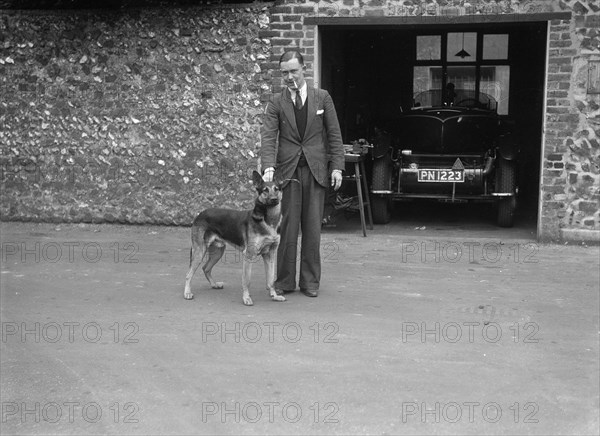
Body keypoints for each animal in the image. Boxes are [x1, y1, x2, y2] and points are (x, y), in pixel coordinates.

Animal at [183, 170, 286, 306]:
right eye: (265, 190)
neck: (269, 221)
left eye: (276, 189)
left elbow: (270, 279)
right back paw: (187, 293)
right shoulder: (249, 255)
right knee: (188, 273)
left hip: (218, 252)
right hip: (200, 252)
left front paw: (274, 296)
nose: (274, 199)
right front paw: (246, 298)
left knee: (206, 268)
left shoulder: (270, 255)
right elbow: (247, 280)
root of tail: (200, 214)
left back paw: (214, 284)